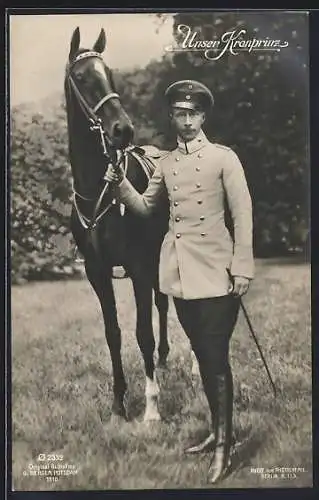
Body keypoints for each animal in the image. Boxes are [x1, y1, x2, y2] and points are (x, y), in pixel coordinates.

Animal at [63, 25, 171, 420]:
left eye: (108, 73)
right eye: (81, 77)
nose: (122, 129)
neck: (99, 189)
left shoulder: (140, 265)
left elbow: (142, 332)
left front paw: (152, 407)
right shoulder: (97, 271)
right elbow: (114, 333)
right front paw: (118, 404)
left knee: (164, 305)